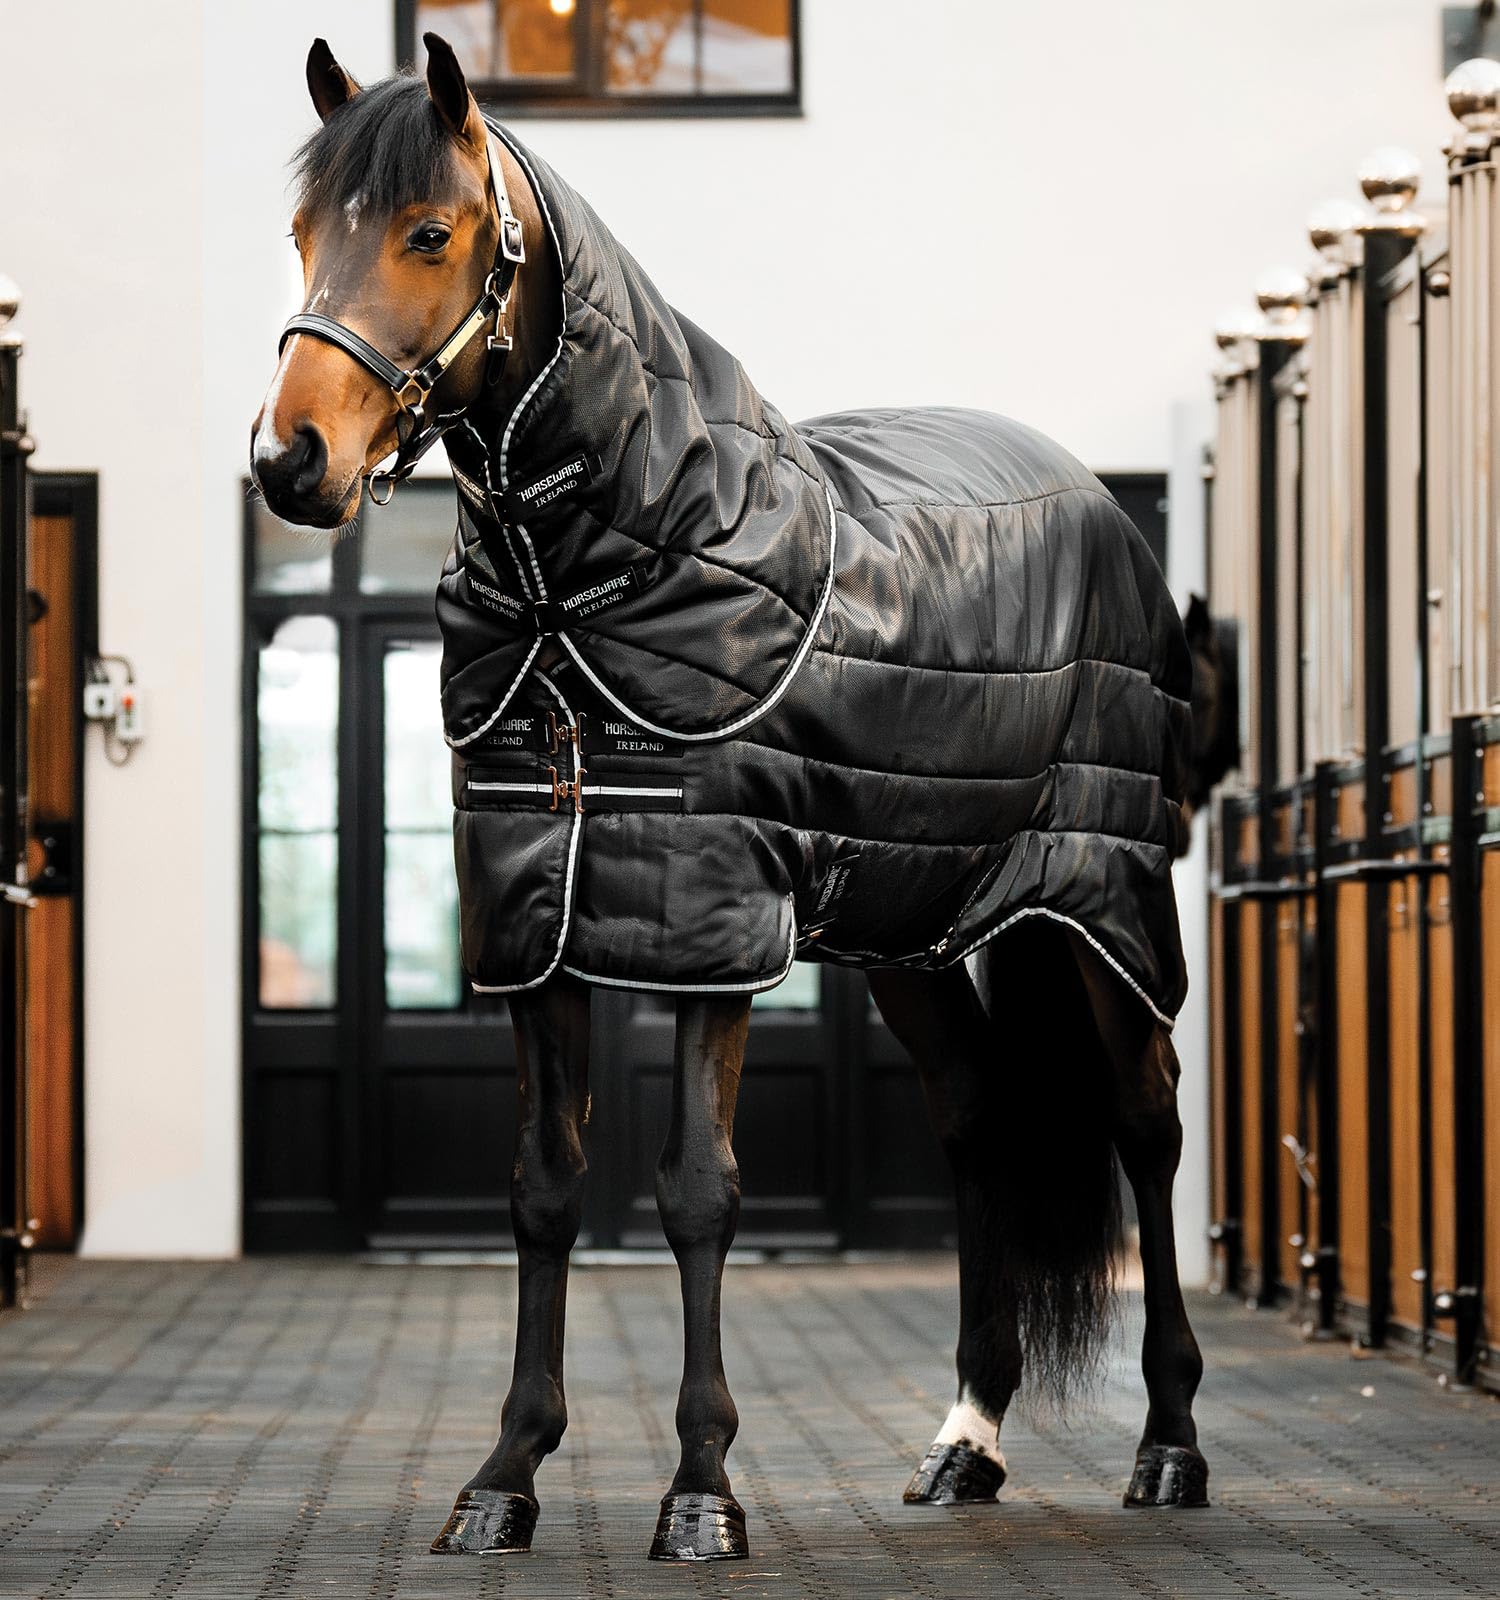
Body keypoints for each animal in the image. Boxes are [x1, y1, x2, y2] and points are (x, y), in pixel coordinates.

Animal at [251, 34, 1209, 1562]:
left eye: (429, 232)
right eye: (299, 235)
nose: (291, 461)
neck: (602, 577)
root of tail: (1103, 505)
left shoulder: (709, 926)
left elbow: (699, 1189)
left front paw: (700, 1490)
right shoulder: (537, 928)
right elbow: (541, 1188)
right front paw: (505, 1476)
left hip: (1101, 896)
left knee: (1145, 1117)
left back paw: (1170, 1441)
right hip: (908, 923)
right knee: (978, 1112)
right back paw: (967, 1440)